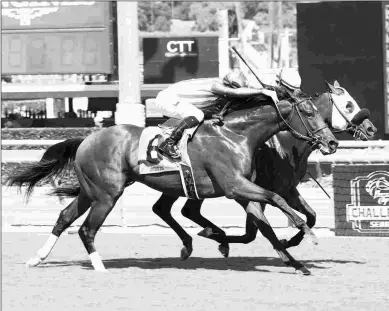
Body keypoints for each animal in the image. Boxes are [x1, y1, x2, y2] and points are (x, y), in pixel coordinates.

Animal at [7, 93, 338, 276]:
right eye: (309, 112)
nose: (332, 142)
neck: (237, 134)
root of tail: (87, 138)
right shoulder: (234, 186)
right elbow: (276, 199)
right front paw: (304, 231)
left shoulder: (242, 192)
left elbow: (266, 227)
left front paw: (298, 264)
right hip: (107, 194)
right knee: (87, 229)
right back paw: (100, 267)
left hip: (92, 191)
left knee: (64, 218)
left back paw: (37, 259)